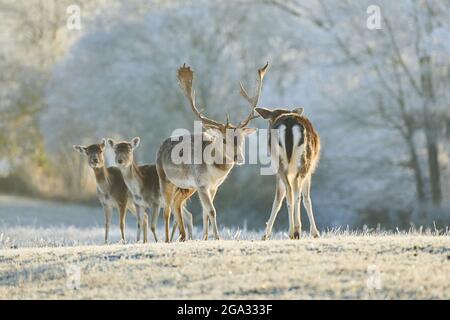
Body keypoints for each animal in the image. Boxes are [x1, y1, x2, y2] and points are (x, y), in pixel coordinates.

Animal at [156, 62, 268, 242]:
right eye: (224, 140)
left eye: (242, 140)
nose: (239, 157)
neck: (214, 172)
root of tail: (161, 146)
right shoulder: (202, 184)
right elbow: (212, 210)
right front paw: (217, 237)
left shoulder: (213, 186)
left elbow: (205, 212)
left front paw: (206, 238)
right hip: (164, 178)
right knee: (166, 209)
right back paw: (167, 239)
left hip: (186, 187)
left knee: (176, 204)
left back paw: (183, 236)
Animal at [255, 107, 322, 240]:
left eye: (269, 121)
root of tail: (289, 124)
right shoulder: (309, 171)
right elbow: (306, 199)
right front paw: (315, 233)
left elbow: (278, 199)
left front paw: (265, 235)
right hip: (303, 163)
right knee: (294, 193)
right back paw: (295, 231)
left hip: (279, 163)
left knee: (288, 194)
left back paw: (292, 231)